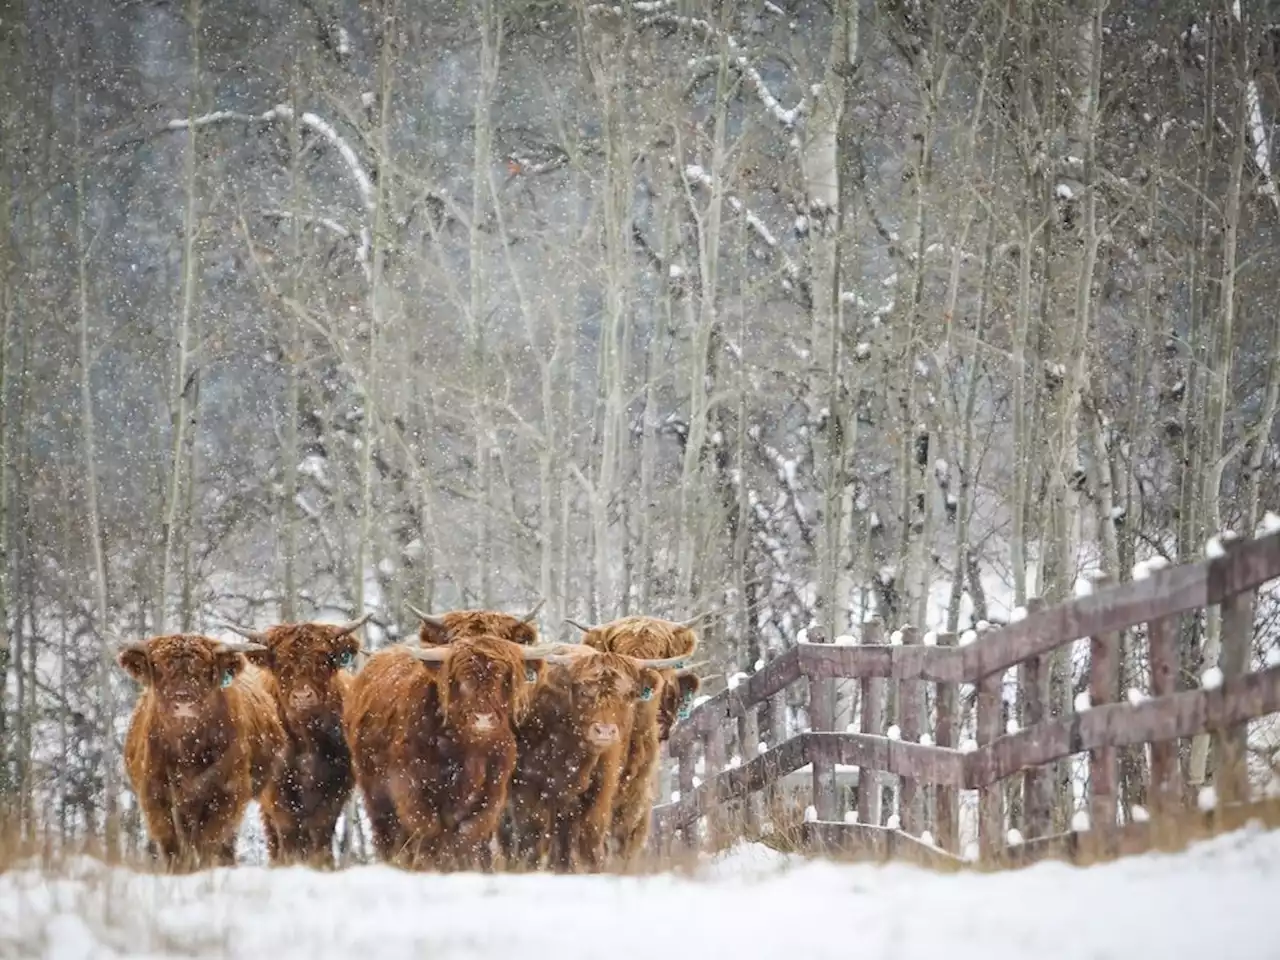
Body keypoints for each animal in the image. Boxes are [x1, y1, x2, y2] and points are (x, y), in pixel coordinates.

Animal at [118, 634, 285, 875]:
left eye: (205, 670)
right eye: (159, 668)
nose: (183, 700)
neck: (188, 752)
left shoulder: (228, 794)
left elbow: (209, 841)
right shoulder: (155, 795)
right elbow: (171, 845)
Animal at [216, 616, 371, 870]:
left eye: (322, 660)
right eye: (281, 664)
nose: (302, 697)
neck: (307, 740)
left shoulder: (334, 788)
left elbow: (321, 831)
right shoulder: (276, 792)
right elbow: (288, 834)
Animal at [345, 632, 560, 870]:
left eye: (502, 678)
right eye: (461, 679)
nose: (483, 719)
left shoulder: (491, 795)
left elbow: (466, 836)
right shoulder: (411, 788)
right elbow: (429, 833)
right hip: (374, 793)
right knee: (388, 833)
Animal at [501, 642, 701, 875]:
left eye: (628, 694)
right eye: (583, 691)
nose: (604, 731)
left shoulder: (601, 791)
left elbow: (590, 839)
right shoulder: (528, 787)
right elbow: (532, 838)